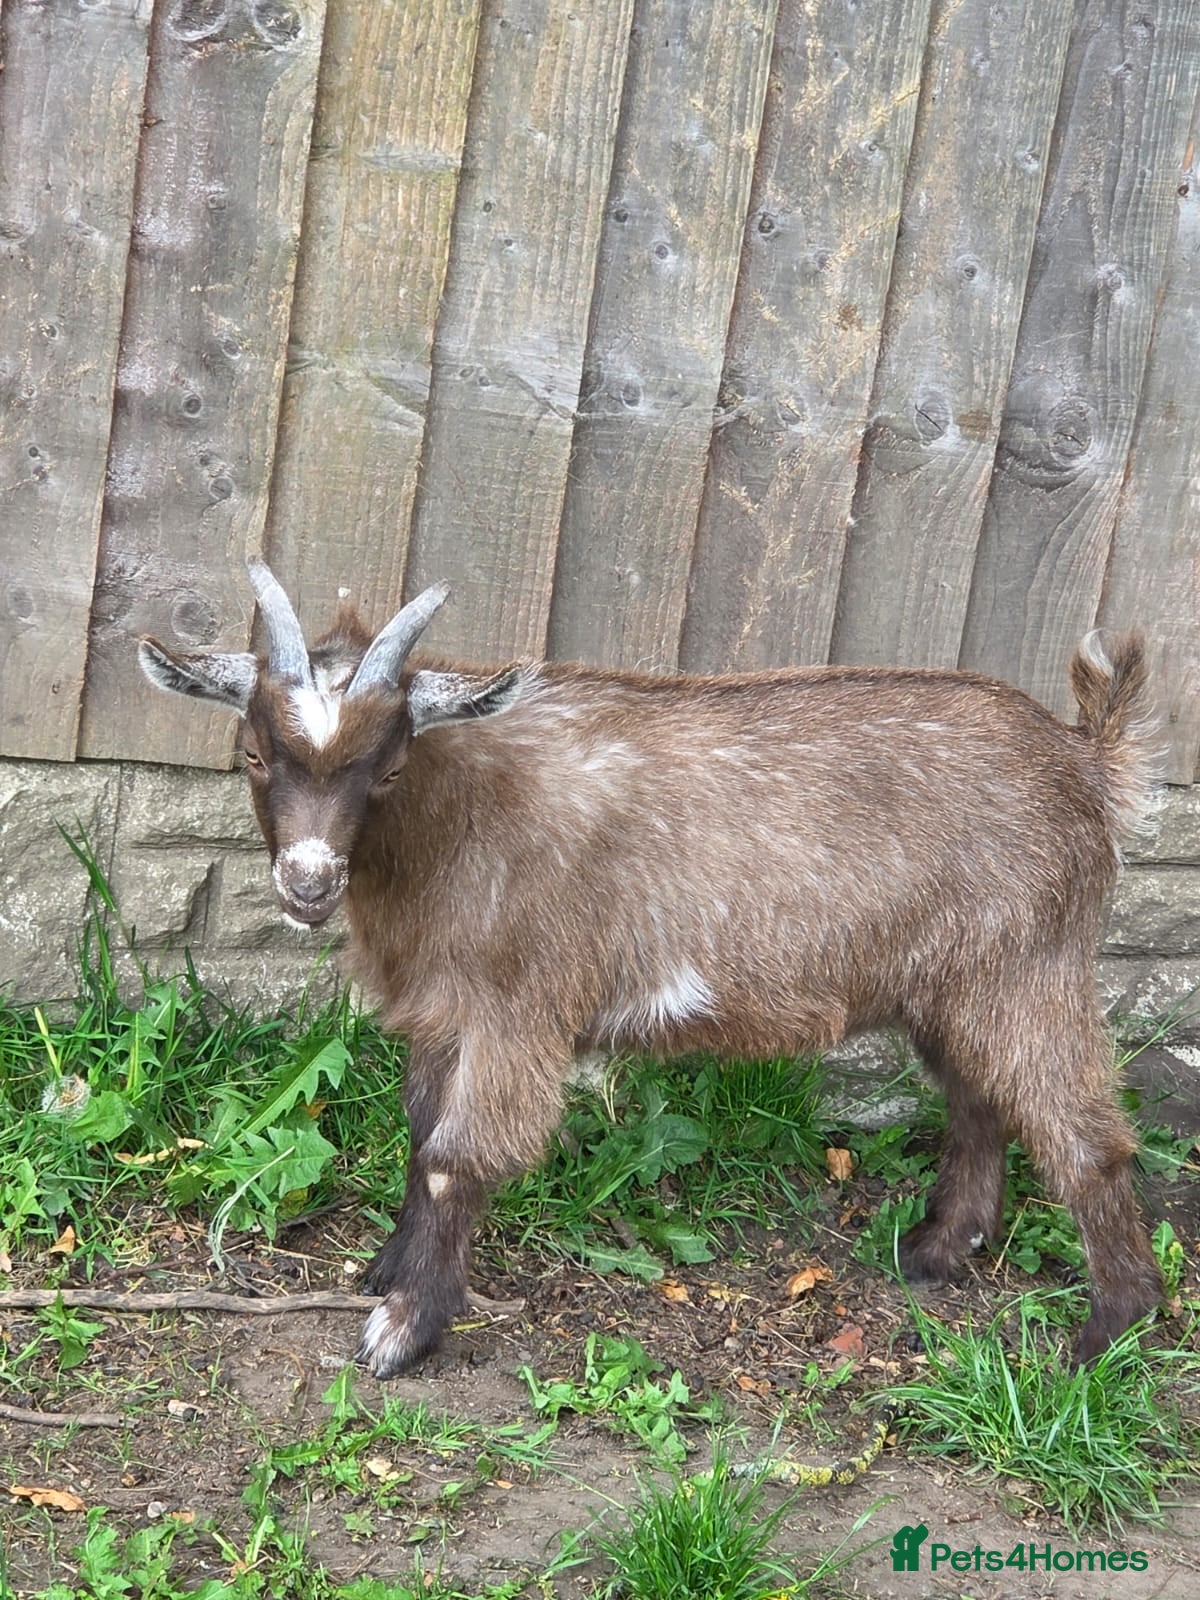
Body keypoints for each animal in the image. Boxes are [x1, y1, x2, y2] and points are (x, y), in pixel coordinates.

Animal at [139, 561, 1163, 1378]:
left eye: (386, 770)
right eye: (254, 753)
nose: (309, 884)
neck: (453, 818)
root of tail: (1086, 759)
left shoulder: (518, 1008)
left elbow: (457, 1158)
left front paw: (404, 1330)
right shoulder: (445, 1009)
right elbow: (420, 1134)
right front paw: (390, 1270)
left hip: (1028, 967)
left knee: (1087, 1137)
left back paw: (1107, 1334)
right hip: (952, 983)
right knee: (979, 1101)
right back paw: (940, 1253)